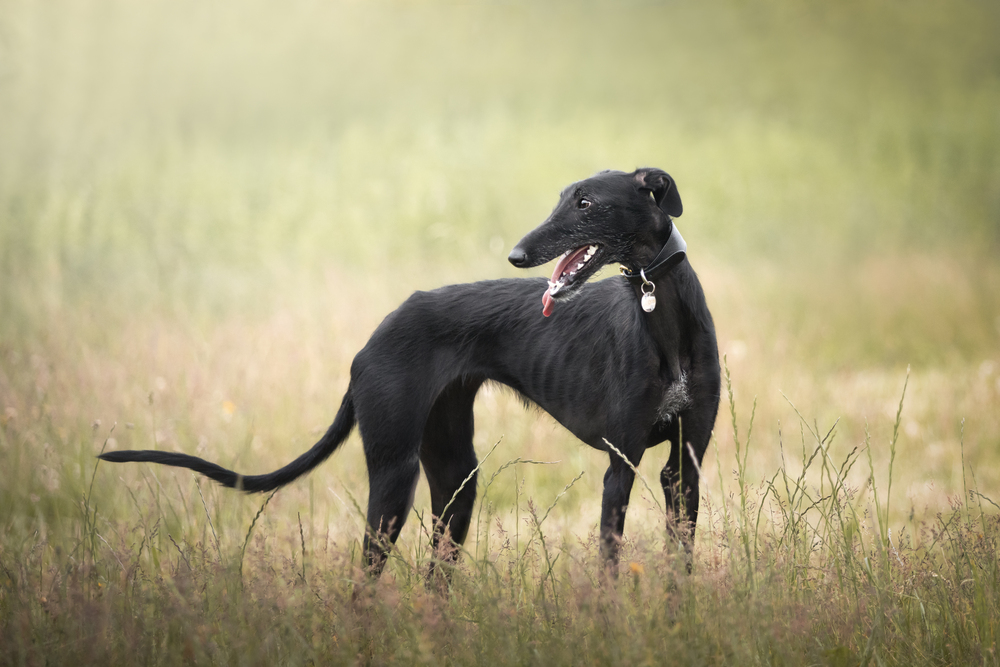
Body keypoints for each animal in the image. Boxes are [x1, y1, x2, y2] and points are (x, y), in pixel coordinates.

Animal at [103, 170, 720, 576]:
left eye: (586, 202)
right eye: (563, 199)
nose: (517, 255)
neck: (662, 318)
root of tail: (374, 336)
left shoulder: (683, 464)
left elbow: (680, 563)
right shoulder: (620, 462)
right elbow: (610, 568)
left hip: (455, 478)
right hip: (394, 476)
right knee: (366, 579)